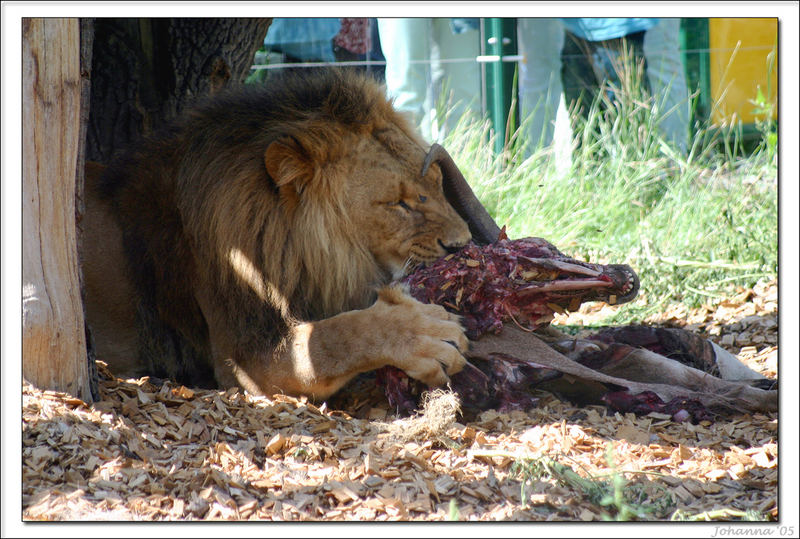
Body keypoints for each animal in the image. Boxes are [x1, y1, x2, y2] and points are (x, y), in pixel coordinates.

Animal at [79, 68, 500, 400]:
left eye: (437, 183)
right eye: (399, 203)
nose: (463, 245)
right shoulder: (242, 356)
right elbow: (334, 336)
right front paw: (423, 333)